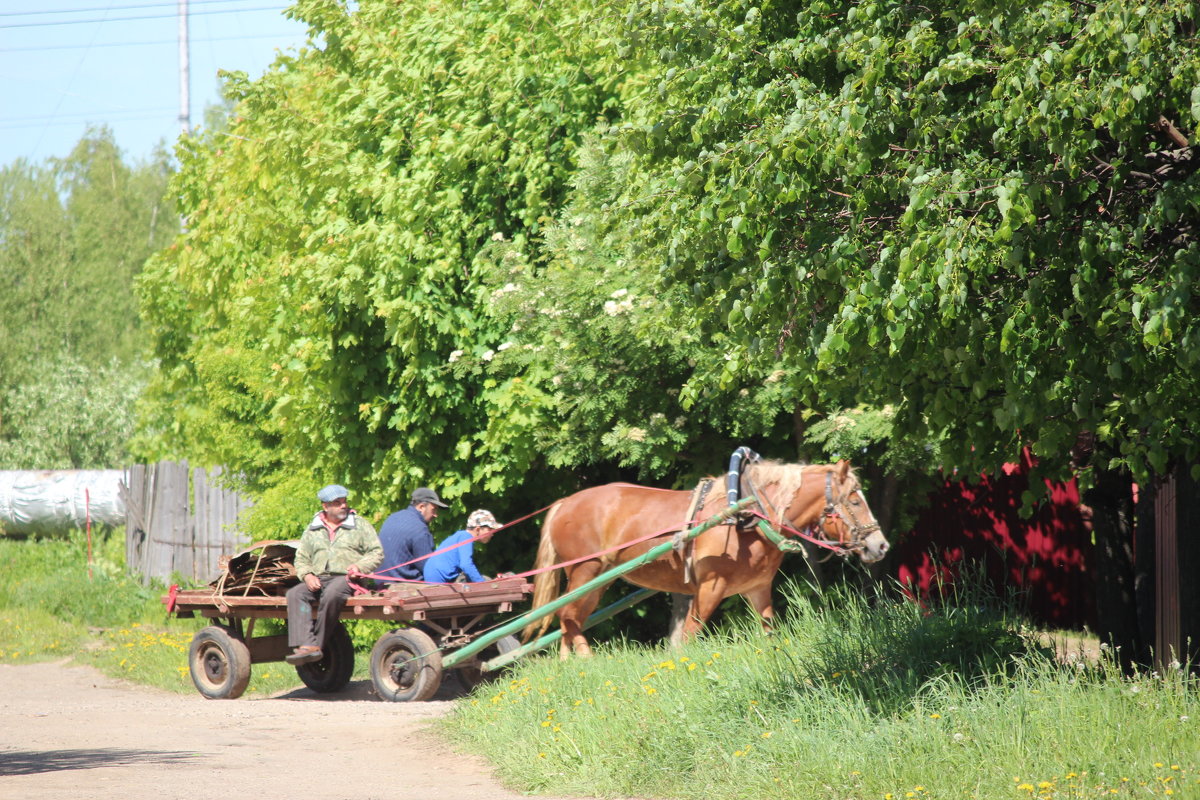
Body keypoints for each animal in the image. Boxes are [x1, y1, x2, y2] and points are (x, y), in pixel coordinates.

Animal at [528, 455, 892, 657]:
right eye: (855, 499)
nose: (881, 545)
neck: (747, 514)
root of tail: (565, 502)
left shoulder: (757, 588)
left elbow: (768, 631)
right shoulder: (709, 587)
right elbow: (690, 634)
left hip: (598, 581)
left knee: (569, 619)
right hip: (585, 571)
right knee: (568, 616)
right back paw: (584, 659)